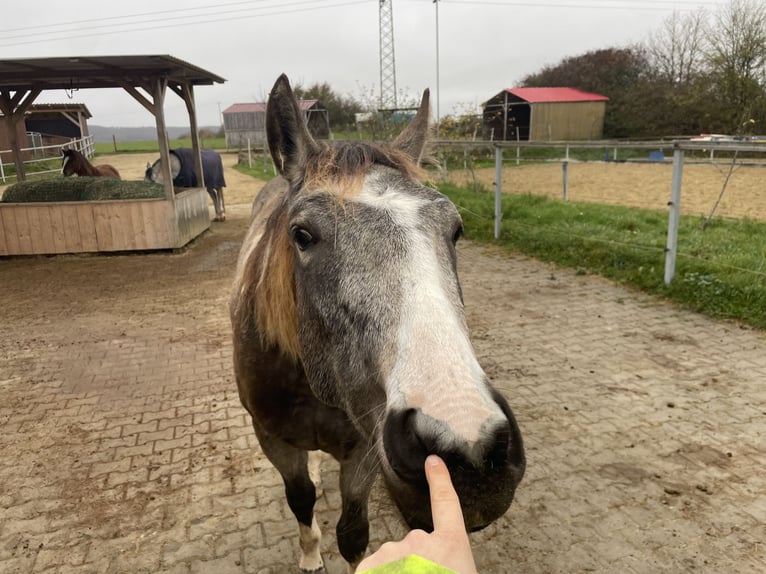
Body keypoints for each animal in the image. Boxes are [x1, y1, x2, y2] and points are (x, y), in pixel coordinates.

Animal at [229, 74, 525, 573]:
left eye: (456, 230)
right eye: (302, 235)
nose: (469, 450)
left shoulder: (365, 450)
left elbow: (353, 532)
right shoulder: (271, 438)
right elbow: (300, 498)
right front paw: (310, 555)